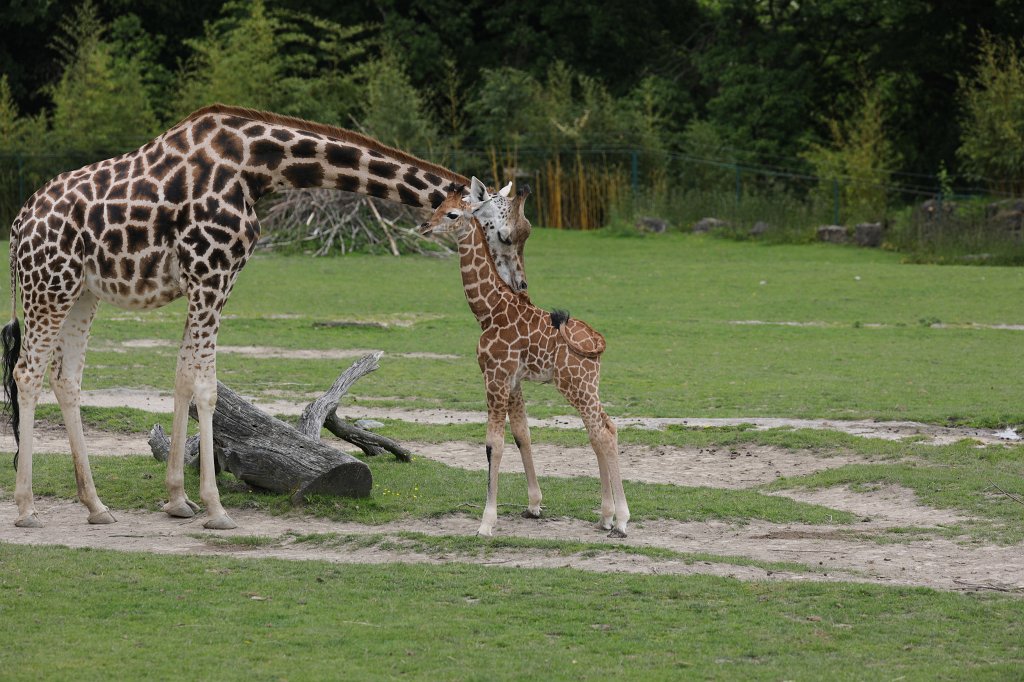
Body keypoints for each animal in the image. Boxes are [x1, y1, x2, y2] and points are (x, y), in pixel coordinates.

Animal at [1, 104, 528, 530]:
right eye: (507, 234)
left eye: (524, 233)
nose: (520, 287)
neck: (258, 166)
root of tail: (19, 225)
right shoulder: (212, 272)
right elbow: (206, 386)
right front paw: (215, 509)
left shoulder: (208, 278)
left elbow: (183, 377)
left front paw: (178, 500)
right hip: (48, 286)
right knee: (26, 372)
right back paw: (27, 509)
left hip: (81, 292)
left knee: (66, 379)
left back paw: (96, 506)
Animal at [420, 182, 629, 537]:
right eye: (436, 206)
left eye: (452, 214)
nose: (424, 227)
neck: (488, 311)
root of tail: (598, 342)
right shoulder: (513, 379)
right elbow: (521, 434)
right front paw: (533, 505)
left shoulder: (496, 376)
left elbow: (494, 443)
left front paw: (486, 522)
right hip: (587, 384)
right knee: (603, 429)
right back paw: (606, 517)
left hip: (576, 384)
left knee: (602, 432)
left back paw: (623, 521)